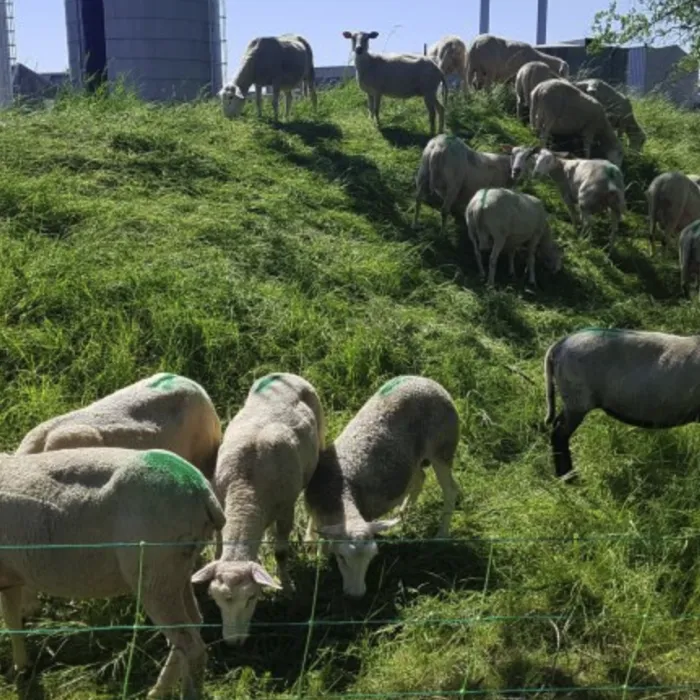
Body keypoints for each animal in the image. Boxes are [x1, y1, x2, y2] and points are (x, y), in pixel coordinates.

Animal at [0, 447, 225, 699]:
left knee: (191, 646)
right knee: (192, 628)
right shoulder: (9, 577)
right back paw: (157, 691)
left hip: (155, 575)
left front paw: (17, 670)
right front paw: (21, 667)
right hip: (177, 571)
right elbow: (12, 619)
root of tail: (204, 493)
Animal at [191, 372, 324, 645]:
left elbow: (281, 553)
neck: (245, 490)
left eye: (251, 597)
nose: (234, 642)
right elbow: (219, 543)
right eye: (216, 599)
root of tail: (285, 373)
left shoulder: (286, 509)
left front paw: (287, 587)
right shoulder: (220, 504)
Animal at [304, 375, 461, 598]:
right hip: (415, 457)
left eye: (372, 558)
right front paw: (313, 547)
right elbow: (317, 528)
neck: (339, 494)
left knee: (450, 490)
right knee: (419, 477)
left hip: (442, 448)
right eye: (342, 558)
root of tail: (428, 381)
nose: (357, 595)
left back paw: (441, 536)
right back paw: (404, 511)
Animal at [544, 328, 700, 479]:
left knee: (557, 426)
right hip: (577, 400)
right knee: (559, 434)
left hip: (573, 401)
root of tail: (561, 344)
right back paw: (568, 477)